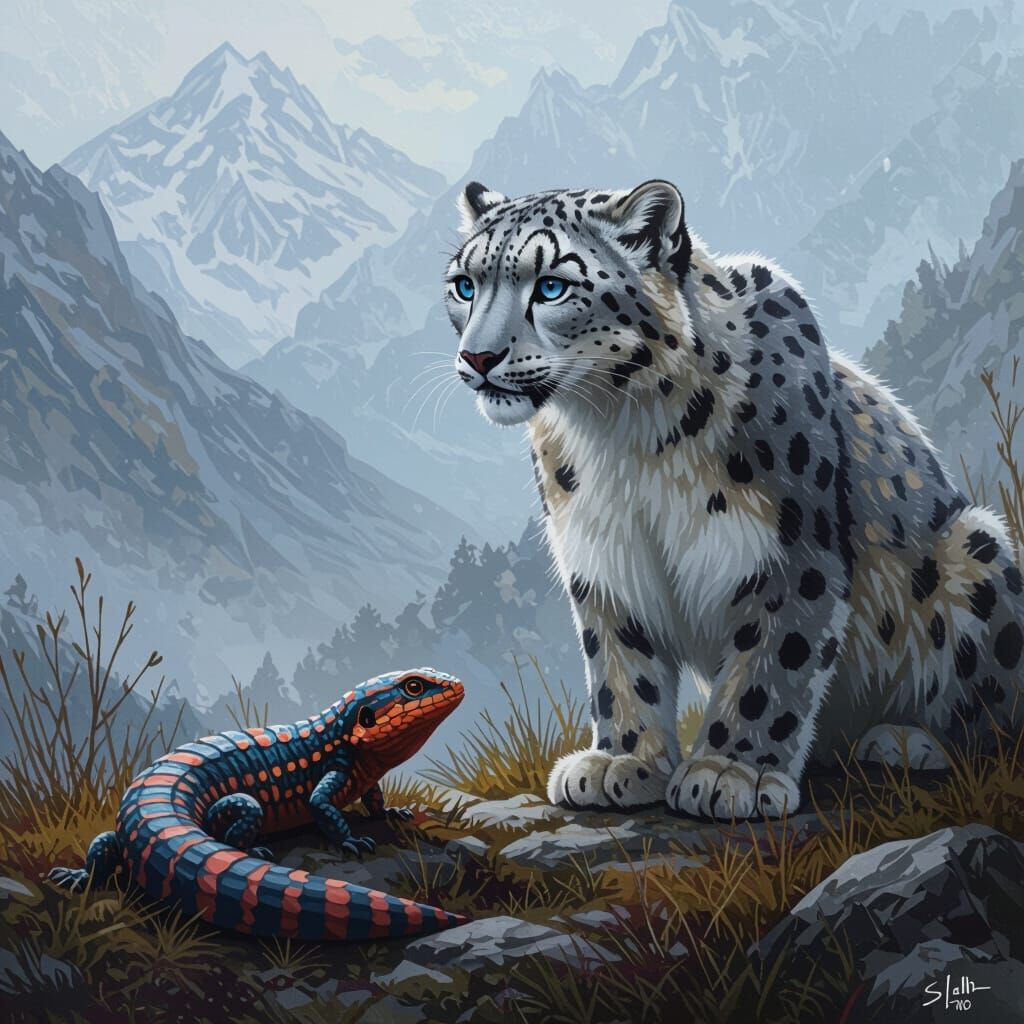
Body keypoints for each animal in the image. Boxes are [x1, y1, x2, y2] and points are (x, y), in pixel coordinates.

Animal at [444, 178, 1024, 820]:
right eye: (465, 285)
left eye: (551, 286)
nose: (477, 358)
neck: (619, 432)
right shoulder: (604, 558)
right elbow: (620, 663)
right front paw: (622, 761)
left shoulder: (791, 554)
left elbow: (769, 667)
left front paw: (729, 773)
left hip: (973, 549)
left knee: (994, 721)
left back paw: (905, 739)